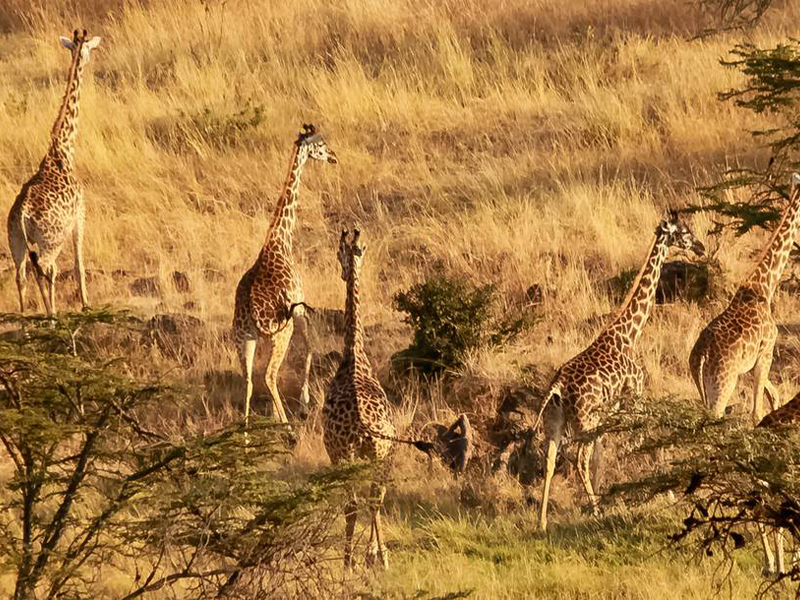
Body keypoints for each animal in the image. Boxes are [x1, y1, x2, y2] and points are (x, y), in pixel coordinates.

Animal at [7, 29, 101, 316]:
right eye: (89, 48)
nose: (93, 55)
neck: (62, 149)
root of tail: (22, 213)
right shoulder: (80, 216)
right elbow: (79, 266)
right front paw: (86, 304)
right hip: (50, 240)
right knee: (44, 268)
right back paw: (51, 316)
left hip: (15, 240)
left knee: (22, 275)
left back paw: (26, 319)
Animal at [232, 124, 337, 427]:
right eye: (321, 145)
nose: (333, 157)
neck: (279, 239)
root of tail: (251, 312)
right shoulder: (300, 307)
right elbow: (311, 346)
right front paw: (304, 402)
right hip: (280, 334)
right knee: (268, 375)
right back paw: (286, 424)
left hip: (243, 337)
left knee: (248, 380)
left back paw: (244, 432)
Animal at [538, 211, 705, 531]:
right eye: (685, 232)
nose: (701, 248)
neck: (628, 334)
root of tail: (558, 386)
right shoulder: (634, 397)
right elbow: (639, 442)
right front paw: (661, 495)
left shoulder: (610, 412)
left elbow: (603, 457)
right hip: (585, 422)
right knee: (578, 459)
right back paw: (595, 511)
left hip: (556, 422)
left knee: (551, 460)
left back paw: (541, 521)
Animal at [689, 173, 800, 425]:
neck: (765, 285)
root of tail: (700, 357)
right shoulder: (766, 350)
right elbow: (757, 411)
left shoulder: (752, 362)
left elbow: (774, 395)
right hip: (723, 384)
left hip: (703, 387)